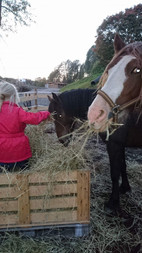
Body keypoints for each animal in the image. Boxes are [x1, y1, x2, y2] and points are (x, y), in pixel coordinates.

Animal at [87, 33, 142, 213]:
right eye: (108, 70)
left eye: (137, 70)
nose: (95, 114)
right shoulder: (118, 143)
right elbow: (120, 167)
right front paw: (123, 189)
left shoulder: (115, 143)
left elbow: (116, 170)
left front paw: (114, 201)